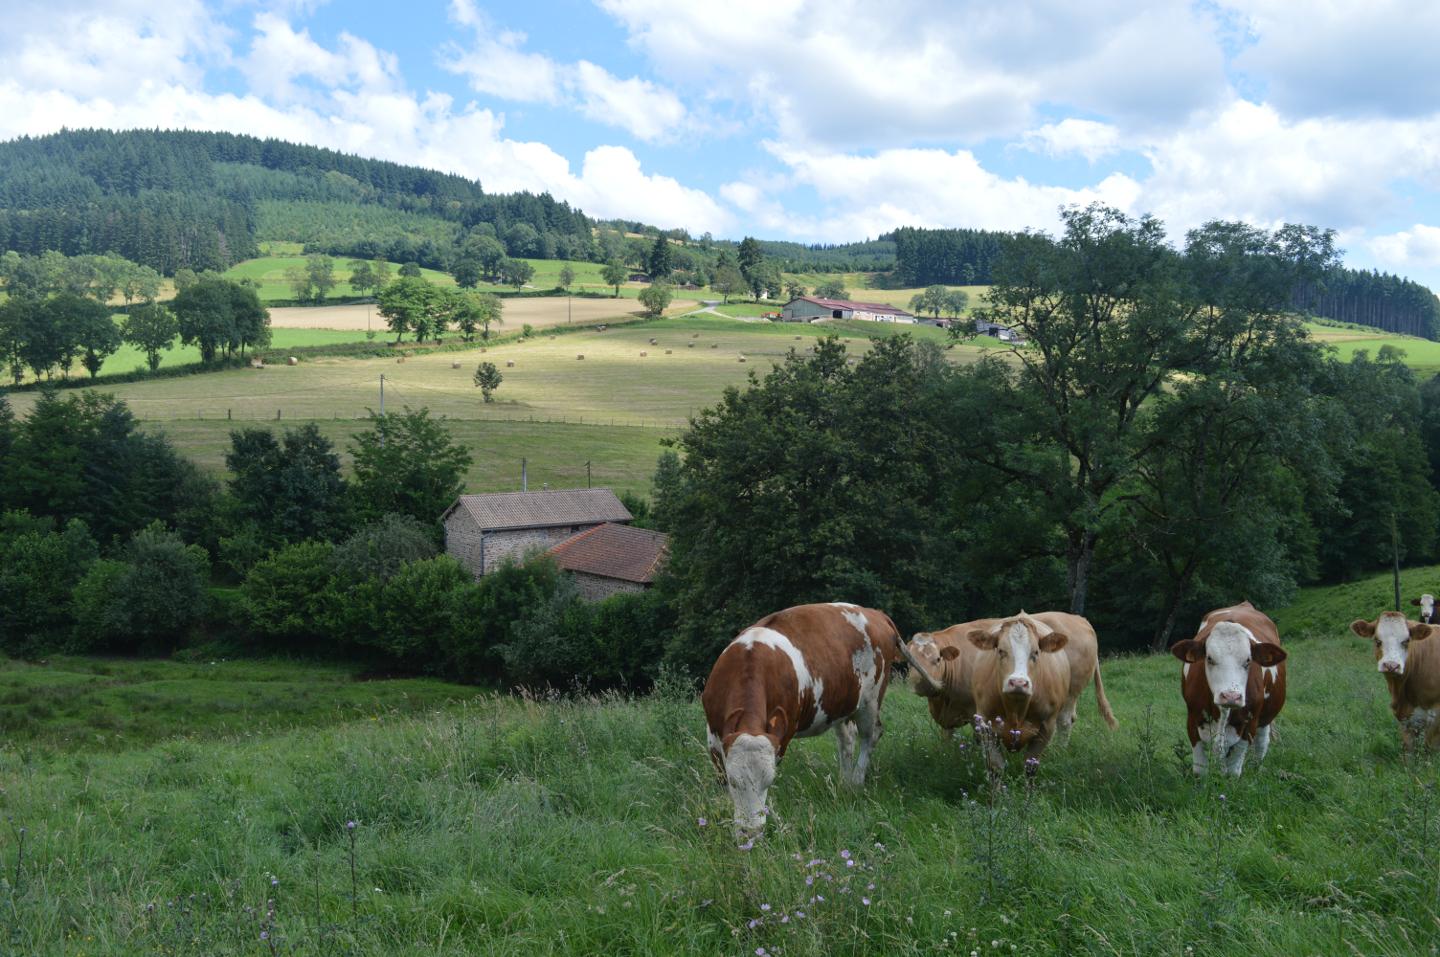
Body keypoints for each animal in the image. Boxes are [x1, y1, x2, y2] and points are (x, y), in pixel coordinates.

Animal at [699, 604, 898, 834]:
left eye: (769, 781)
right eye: (733, 781)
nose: (752, 831)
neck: (748, 663)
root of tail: (874, 613)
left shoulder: (783, 734)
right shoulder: (713, 735)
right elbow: (720, 775)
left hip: (871, 700)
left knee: (870, 736)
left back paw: (856, 782)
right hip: (843, 705)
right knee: (847, 739)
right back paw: (844, 783)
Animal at [961, 607, 1117, 771]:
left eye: (1036, 652)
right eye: (1001, 651)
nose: (1018, 682)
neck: (1016, 709)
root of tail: (1080, 619)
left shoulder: (1046, 726)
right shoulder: (985, 724)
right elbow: (996, 766)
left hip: (1071, 693)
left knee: (1065, 721)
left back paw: (1060, 752)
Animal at [1175, 604, 1290, 777]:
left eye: (1248, 660)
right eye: (1209, 658)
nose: (1231, 696)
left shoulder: (1249, 725)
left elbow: (1234, 771)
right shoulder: (1192, 719)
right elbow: (1200, 770)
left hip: (1266, 718)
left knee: (1262, 743)